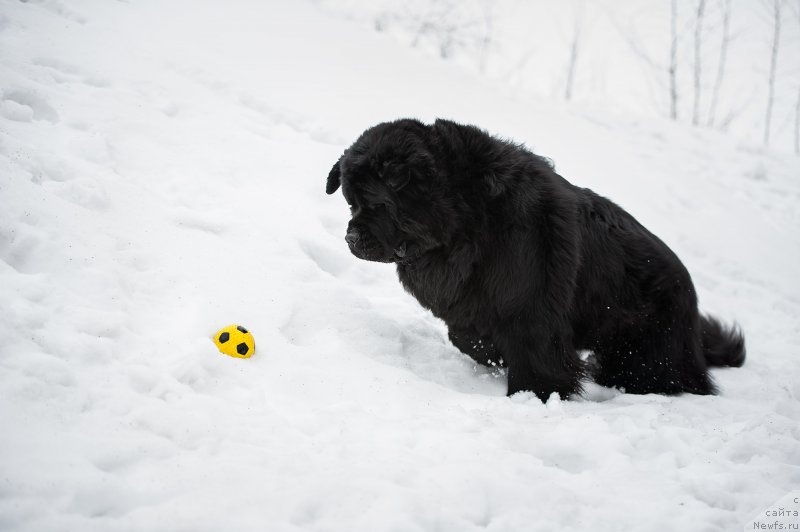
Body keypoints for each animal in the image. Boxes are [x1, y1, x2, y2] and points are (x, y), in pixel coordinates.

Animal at [324, 116, 744, 400]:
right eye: (350, 202)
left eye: (378, 204)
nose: (350, 237)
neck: (464, 223)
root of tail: (691, 294)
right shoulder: (468, 302)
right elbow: (465, 337)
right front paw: (494, 358)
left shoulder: (532, 309)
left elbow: (536, 357)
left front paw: (535, 395)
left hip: (646, 349)